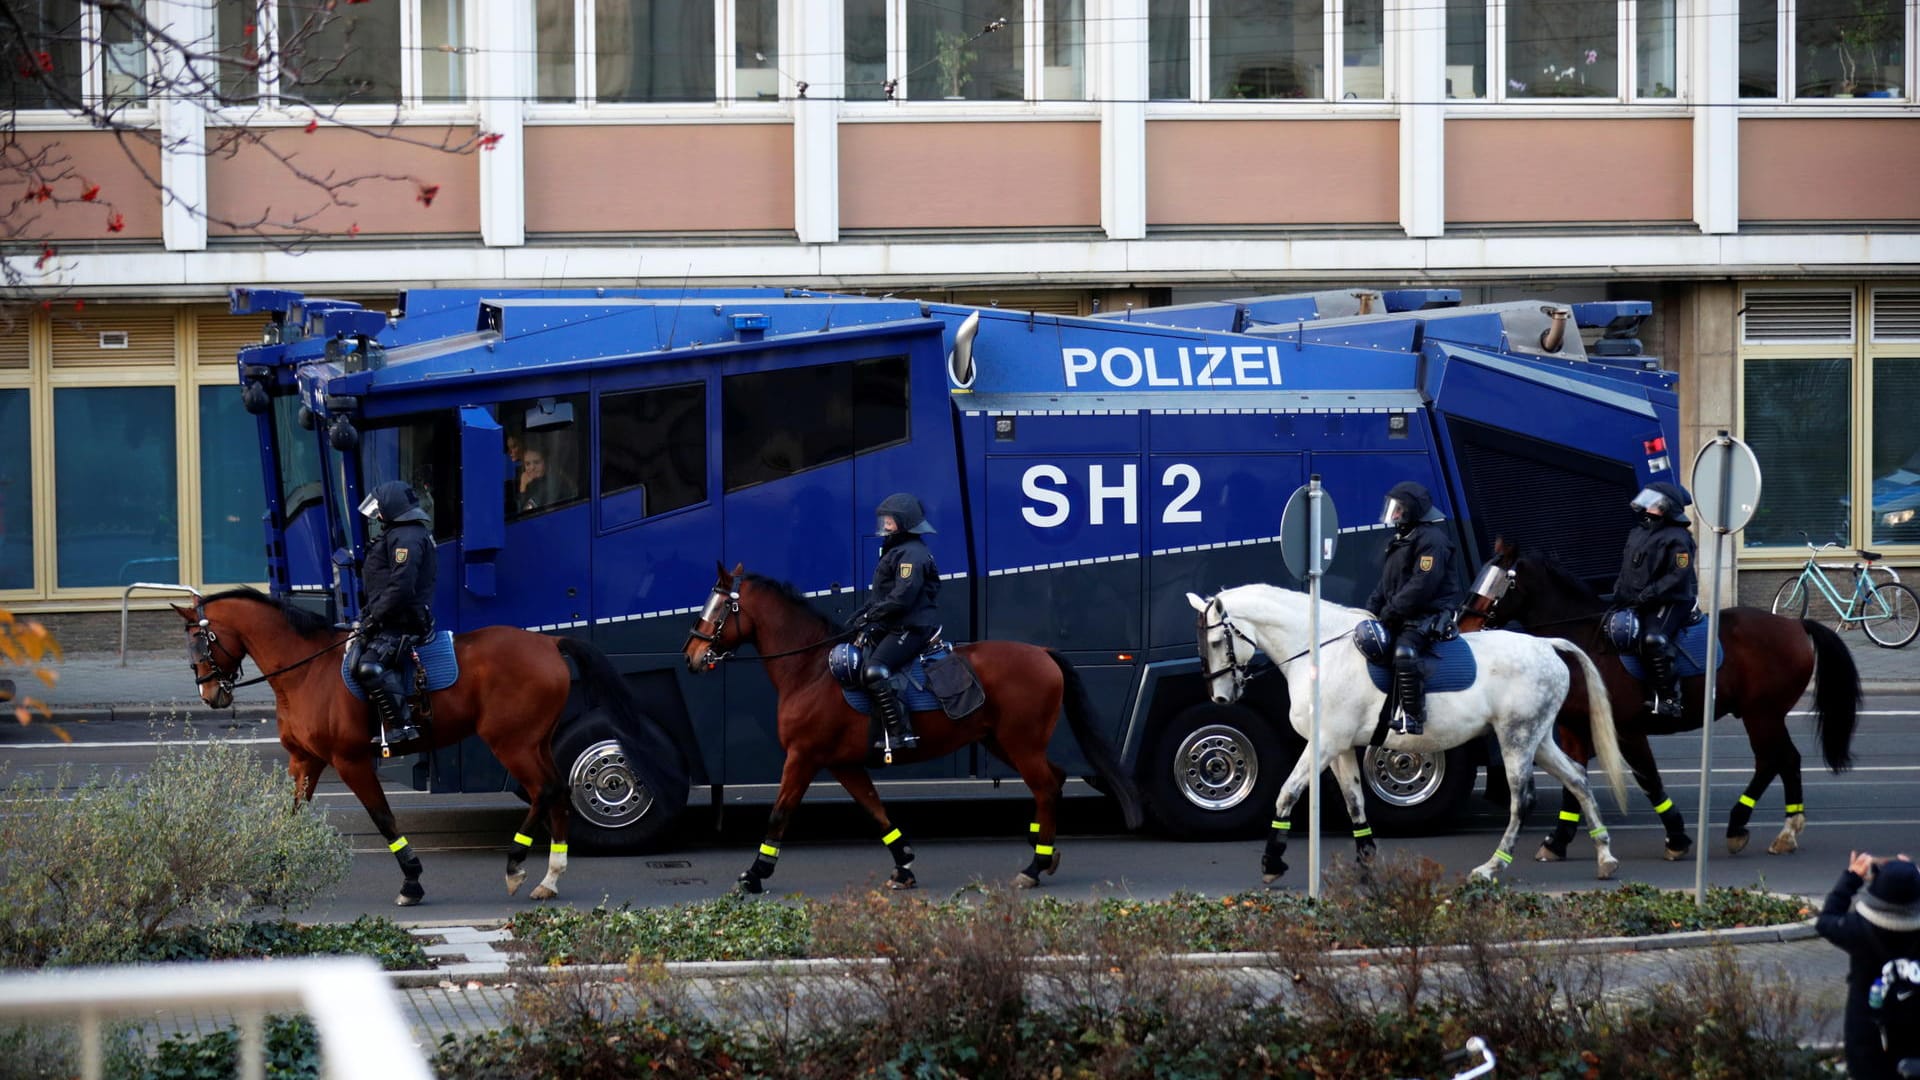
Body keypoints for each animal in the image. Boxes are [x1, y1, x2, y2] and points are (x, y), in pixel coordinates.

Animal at [174, 584, 629, 903]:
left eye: (200, 640)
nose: (208, 693)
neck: (306, 672)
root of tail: (547, 641)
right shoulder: (306, 761)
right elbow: (291, 818)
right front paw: (270, 880)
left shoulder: (350, 761)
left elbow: (384, 819)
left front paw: (411, 881)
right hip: (534, 742)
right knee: (556, 792)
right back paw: (550, 876)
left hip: (511, 743)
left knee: (545, 790)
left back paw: (516, 864)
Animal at [683, 557, 1136, 887]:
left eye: (718, 607)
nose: (691, 655)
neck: (811, 670)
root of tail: (1042, 652)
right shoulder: (842, 763)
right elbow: (875, 809)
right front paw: (903, 864)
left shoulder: (803, 756)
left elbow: (780, 812)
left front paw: (755, 874)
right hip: (1000, 741)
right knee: (1053, 780)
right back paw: (1041, 845)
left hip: (1020, 742)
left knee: (1044, 786)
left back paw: (1034, 867)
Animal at [1190, 584, 1628, 880]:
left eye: (1215, 641)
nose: (1221, 697)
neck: (1320, 653)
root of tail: (1547, 645)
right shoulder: (1340, 747)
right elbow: (1355, 803)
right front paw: (1367, 861)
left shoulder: (1323, 743)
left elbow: (1287, 793)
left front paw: (1272, 860)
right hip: (1538, 739)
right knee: (1577, 778)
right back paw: (1605, 856)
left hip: (1516, 739)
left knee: (1523, 800)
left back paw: (1491, 868)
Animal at [1459, 538, 1850, 857]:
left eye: (1499, 581)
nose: (1460, 628)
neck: (1583, 642)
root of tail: (1796, 624)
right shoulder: (1574, 732)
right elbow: (1573, 782)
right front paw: (1557, 841)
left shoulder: (1627, 731)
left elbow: (1649, 779)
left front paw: (1676, 837)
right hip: (1763, 715)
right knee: (1785, 760)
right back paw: (1782, 830)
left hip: (1762, 714)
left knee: (1773, 760)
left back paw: (1749, 826)